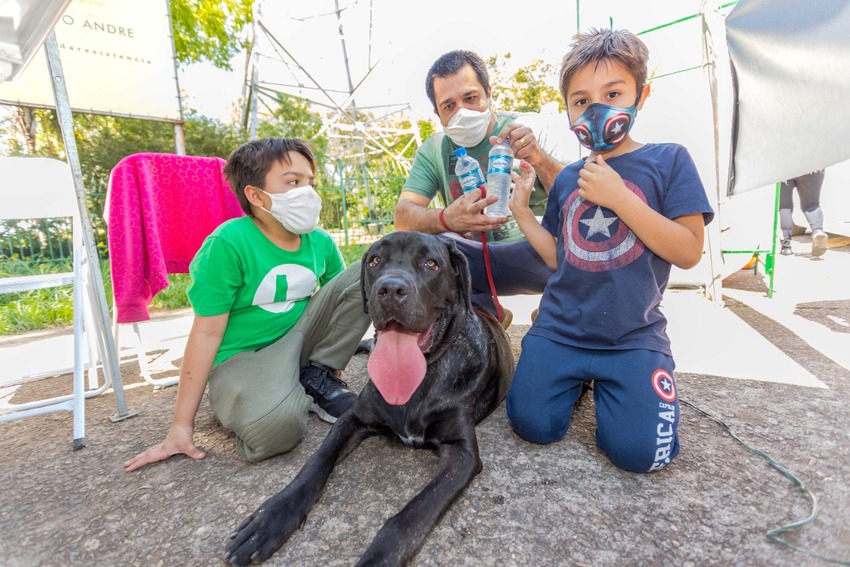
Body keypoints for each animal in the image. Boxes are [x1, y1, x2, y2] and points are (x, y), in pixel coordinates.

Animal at [224, 233, 510, 564]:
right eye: (375, 261)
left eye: (431, 264)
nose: (391, 290)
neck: (420, 378)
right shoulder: (353, 418)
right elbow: (315, 463)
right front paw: (271, 518)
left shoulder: (462, 453)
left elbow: (410, 516)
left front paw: (378, 557)